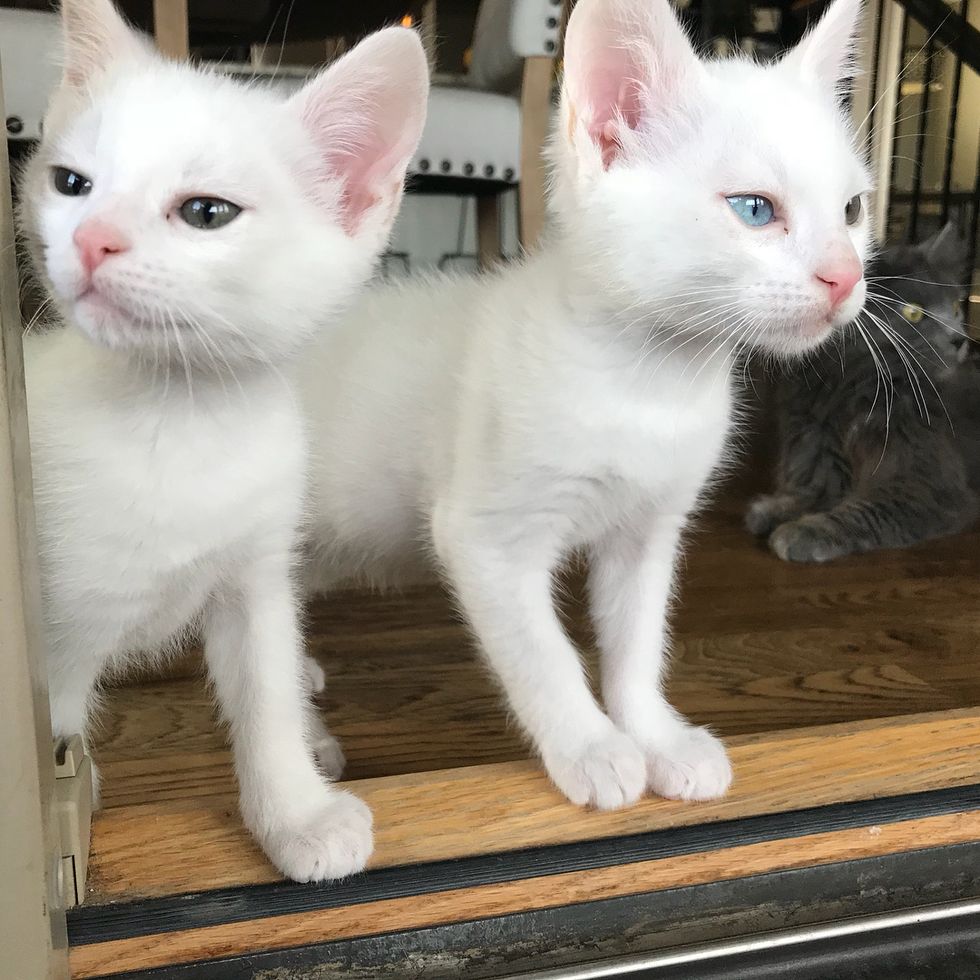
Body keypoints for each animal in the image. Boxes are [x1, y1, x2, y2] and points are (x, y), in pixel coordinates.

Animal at [21, 0, 426, 880]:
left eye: (207, 212)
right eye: (71, 184)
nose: (91, 237)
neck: (178, 421)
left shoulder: (255, 571)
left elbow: (265, 691)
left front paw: (295, 814)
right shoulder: (51, 657)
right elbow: (59, 736)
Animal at [300, 0, 872, 812]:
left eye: (853, 210)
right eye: (755, 209)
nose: (845, 277)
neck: (645, 385)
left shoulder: (650, 532)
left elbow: (638, 641)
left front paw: (655, 733)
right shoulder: (485, 538)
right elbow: (542, 654)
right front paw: (591, 747)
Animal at [748, 221, 976, 560]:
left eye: (955, 306)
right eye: (913, 313)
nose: (960, 338)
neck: (853, 388)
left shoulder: (927, 483)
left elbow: (867, 512)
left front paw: (805, 532)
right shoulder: (820, 443)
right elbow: (816, 489)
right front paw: (775, 509)